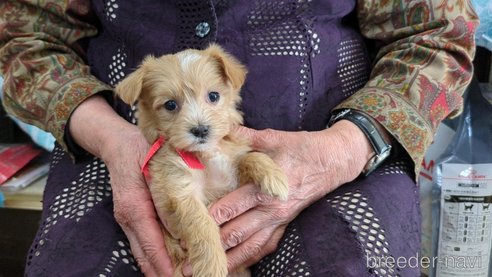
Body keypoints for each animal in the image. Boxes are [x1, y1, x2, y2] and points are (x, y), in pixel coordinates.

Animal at [116, 44, 290, 274]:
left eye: (213, 96)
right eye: (170, 105)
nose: (200, 130)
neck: (205, 155)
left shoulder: (232, 178)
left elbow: (249, 157)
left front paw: (275, 177)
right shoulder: (180, 191)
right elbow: (202, 225)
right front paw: (212, 267)